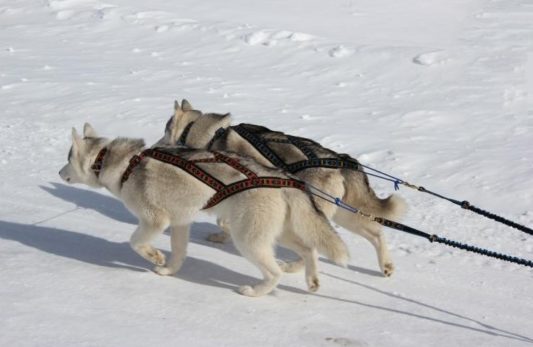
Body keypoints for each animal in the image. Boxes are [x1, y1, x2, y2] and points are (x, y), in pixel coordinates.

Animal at [59, 123, 350, 298]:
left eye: (67, 158)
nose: (59, 172)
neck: (122, 164)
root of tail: (283, 178)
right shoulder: (179, 221)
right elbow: (178, 252)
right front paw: (168, 270)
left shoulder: (155, 220)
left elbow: (136, 242)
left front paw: (155, 256)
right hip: (280, 233)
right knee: (310, 249)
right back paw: (312, 280)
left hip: (249, 239)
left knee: (275, 272)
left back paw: (255, 291)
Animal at [156, 100, 406, 278]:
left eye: (165, 130)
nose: (156, 144)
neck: (209, 136)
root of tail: (341, 160)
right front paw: (221, 235)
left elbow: (223, 220)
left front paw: (223, 232)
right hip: (344, 215)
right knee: (376, 233)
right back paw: (386, 265)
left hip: (311, 215)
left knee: (313, 247)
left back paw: (294, 268)